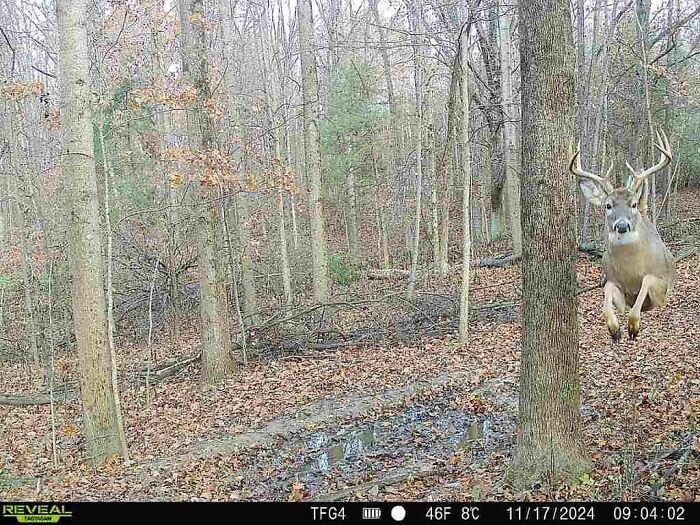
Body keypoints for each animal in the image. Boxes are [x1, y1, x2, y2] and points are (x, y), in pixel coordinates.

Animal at [569, 130, 676, 342]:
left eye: (633, 204)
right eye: (608, 205)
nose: (622, 225)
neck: (631, 273)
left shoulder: (662, 288)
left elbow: (647, 280)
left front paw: (633, 326)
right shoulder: (616, 286)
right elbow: (607, 292)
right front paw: (615, 330)